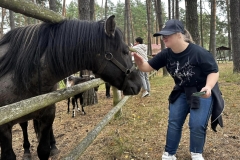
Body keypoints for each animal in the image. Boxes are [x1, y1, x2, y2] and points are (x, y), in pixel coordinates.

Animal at [0, 15, 142, 160]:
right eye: (125, 51)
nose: (139, 84)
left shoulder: (47, 115)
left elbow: (43, 150)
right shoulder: (4, 128)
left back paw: (53, 146)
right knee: (24, 126)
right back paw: (27, 150)